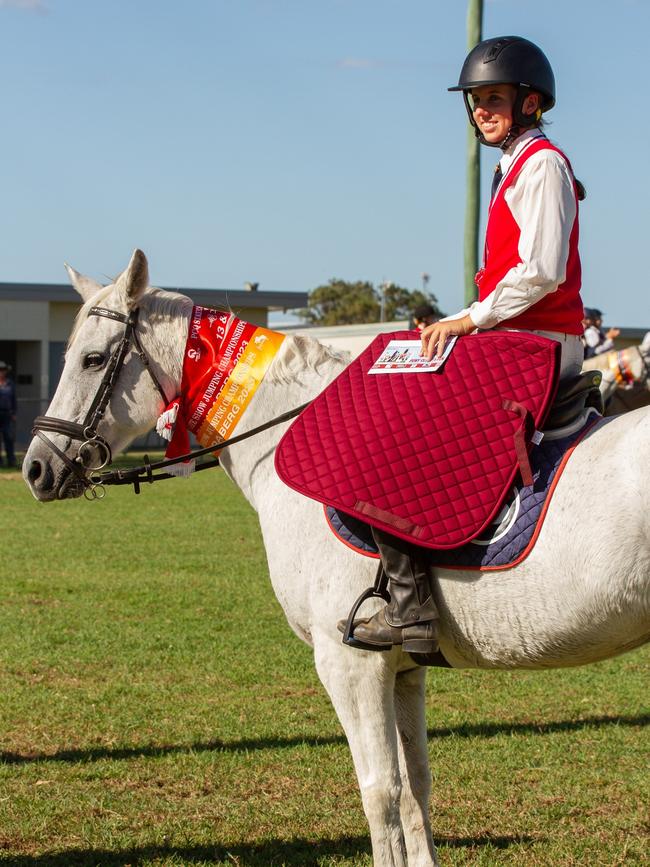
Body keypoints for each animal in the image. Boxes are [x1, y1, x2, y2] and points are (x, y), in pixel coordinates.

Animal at [21, 248, 648, 864]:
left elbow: (381, 792)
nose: (35, 469)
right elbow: (416, 787)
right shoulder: (403, 669)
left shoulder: (348, 662)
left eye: (93, 360)